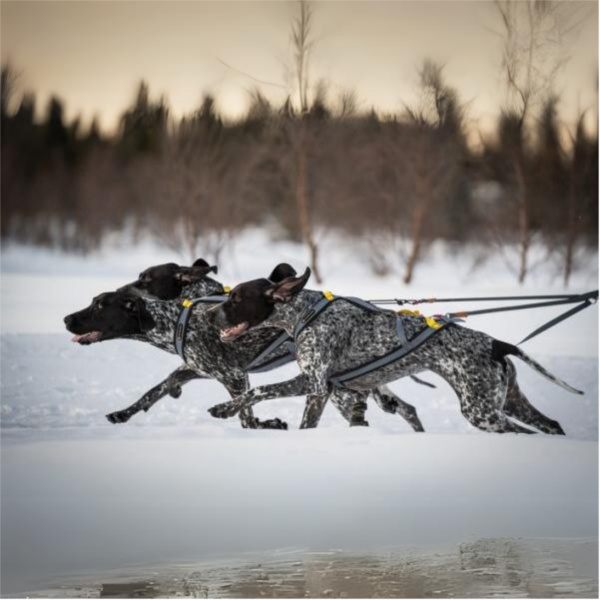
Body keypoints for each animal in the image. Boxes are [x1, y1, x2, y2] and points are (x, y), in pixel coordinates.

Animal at [63, 262, 424, 432]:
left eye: (99, 305)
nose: (66, 318)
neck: (178, 316)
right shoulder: (192, 369)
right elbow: (154, 391)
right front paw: (123, 413)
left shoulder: (234, 377)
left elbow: (247, 417)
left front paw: (269, 424)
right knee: (403, 407)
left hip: (339, 390)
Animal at [209, 266, 584, 432]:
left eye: (235, 298)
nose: (210, 314)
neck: (305, 314)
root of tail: (495, 343)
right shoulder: (324, 390)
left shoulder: (313, 382)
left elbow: (258, 390)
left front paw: (224, 409)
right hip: (508, 402)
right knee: (551, 425)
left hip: (482, 411)